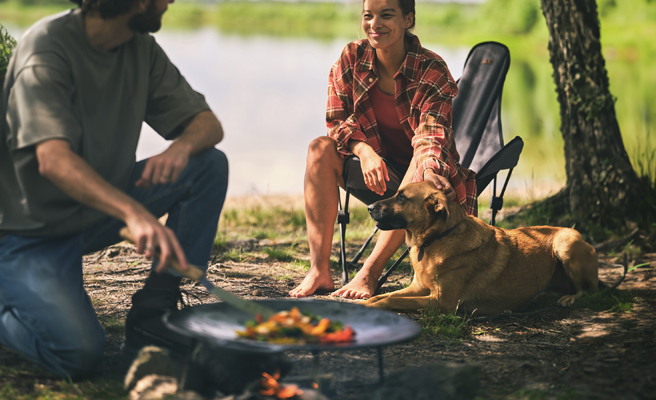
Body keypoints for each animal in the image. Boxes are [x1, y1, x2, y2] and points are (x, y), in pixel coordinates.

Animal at [364, 181, 600, 316]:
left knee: (589, 290)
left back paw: (570, 298)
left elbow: (391, 299)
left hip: (565, 243)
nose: (369, 207)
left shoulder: (441, 302)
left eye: (402, 197)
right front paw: (365, 301)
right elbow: (383, 296)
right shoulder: (419, 288)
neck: (436, 239)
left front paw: (371, 307)